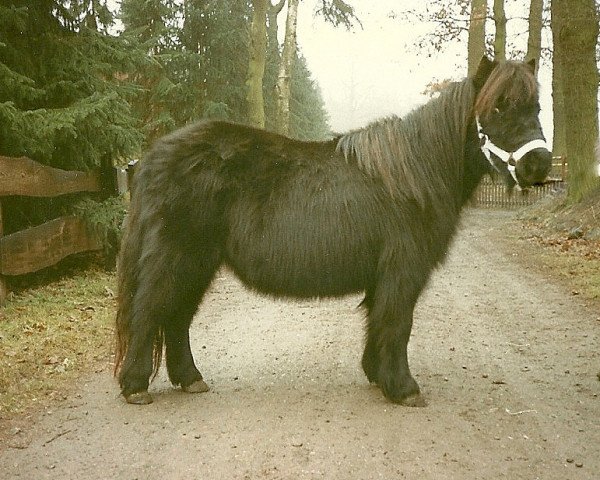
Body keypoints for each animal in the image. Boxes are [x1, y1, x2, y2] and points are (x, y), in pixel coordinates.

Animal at [115, 58, 552, 406]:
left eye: (536, 106)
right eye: (498, 106)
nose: (538, 165)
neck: (414, 173)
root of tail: (151, 157)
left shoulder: (384, 275)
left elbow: (378, 320)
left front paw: (377, 375)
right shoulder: (402, 270)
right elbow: (398, 323)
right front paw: (403, 388)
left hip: (200, 262)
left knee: (177, 317)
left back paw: (190, 379)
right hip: (178, 257)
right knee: (150, 310)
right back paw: (136, 386)